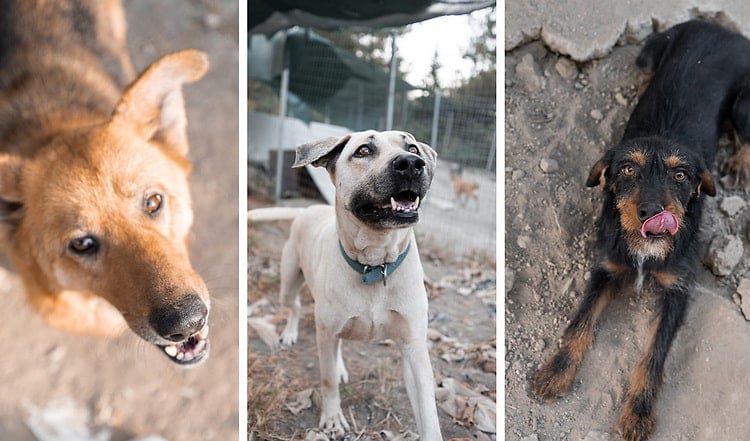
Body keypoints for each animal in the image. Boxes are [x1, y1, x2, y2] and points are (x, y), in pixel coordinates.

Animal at [532, 18, 750, 438]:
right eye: (628, 169)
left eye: (681, 175)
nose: (652, 212)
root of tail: (718, 25)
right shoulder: (605, 269)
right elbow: (580, 323)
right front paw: (556, 372)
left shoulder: (678, 290)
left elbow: (654, 355)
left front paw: (639, 412)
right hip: (649, 53)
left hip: (744, 104)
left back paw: (741, 163)